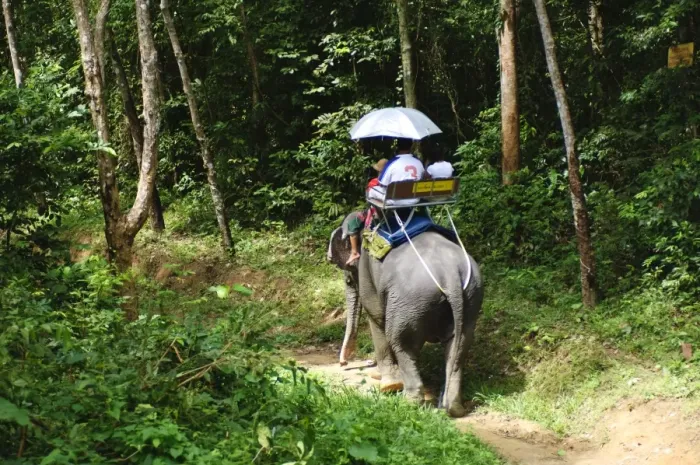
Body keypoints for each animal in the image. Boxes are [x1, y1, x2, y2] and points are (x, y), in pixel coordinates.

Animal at [326, 214, 483, 417]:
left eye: (348, 279)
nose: (343, 363)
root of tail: (450, 275)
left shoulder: (367, 271)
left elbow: (376, 316)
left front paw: (386, 383)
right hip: (471, 297)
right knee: (459, 345)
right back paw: (452, 407)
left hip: (410, 300)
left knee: (401, 342)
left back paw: (407, 402)